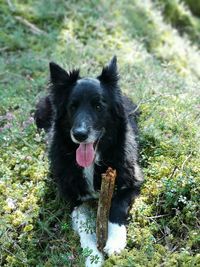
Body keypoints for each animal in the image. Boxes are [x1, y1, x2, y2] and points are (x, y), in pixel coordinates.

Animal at [35, 56, 143, 266]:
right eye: (72, 106)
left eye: (99, 106)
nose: (80, 135)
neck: (92, 163)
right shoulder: (73, 198)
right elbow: (85, 225)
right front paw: (93, 256)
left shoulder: (132, 180)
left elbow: (117, 205)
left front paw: (115, 242)